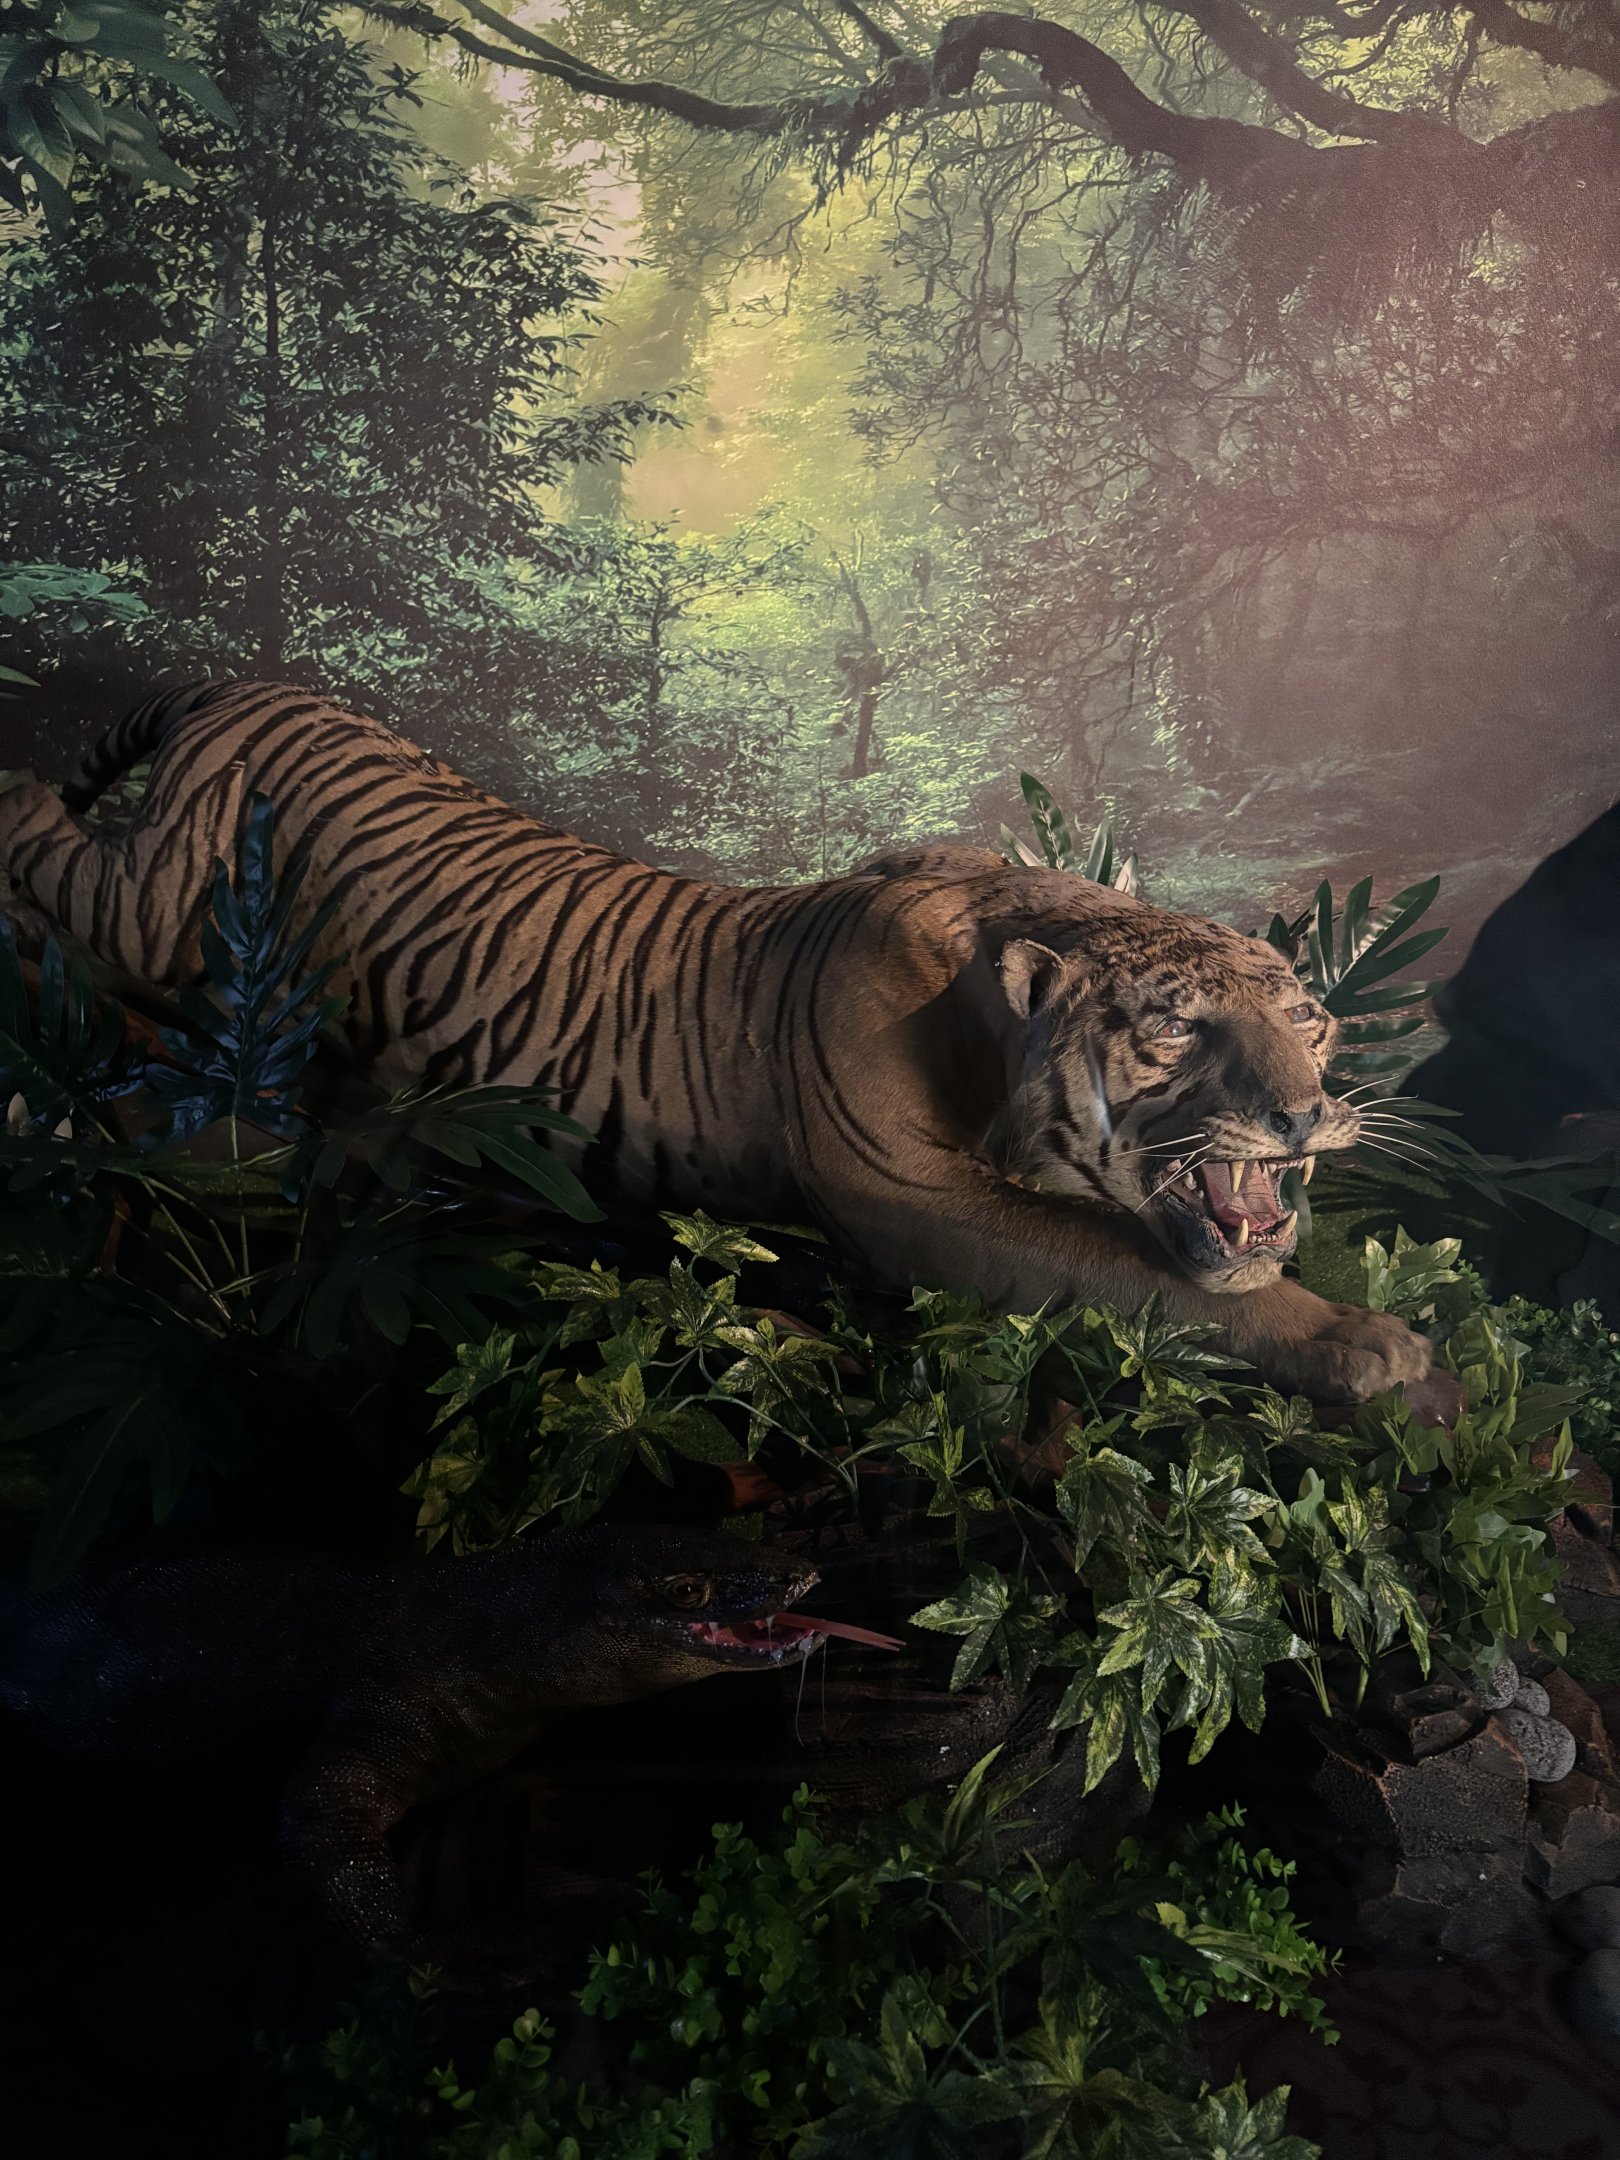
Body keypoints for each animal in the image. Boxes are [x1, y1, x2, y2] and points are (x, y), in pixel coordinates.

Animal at [0, 679, 1453, 1418]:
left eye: (1310, 1018)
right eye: (1176, 1028)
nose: (1312, 1114)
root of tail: (250, 682)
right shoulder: (917, 1202)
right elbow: (1135, 1268)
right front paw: (1362, 1339)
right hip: (150, 900)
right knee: (36, 825)